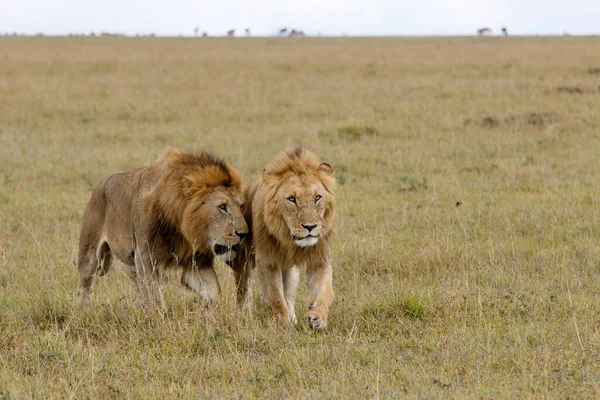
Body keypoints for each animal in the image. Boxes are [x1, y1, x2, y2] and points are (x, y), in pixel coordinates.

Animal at [77, 148, 248, 304]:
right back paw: (83, 309)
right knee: (84, 287)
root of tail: (100, 184)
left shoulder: (196, 261)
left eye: (241, 206)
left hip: (131, 263)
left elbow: (214, 292)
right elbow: (152, 296)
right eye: (222, 207)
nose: (244, 234)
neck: (181, 227)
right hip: (89, 252)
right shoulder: (145, 257)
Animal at [233, 145, 338, 330]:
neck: (290, 241)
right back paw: (244, 314)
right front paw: (281, 325)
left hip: (291, 272)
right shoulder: (267, 260)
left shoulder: (319, 258)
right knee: (243, 289)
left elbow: (327, 291)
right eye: (291, 199)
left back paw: (293, 317)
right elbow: (275, 296)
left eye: (317, 197)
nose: (310, 227)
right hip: (243, 261)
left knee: (288, 295)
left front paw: (318, 317)